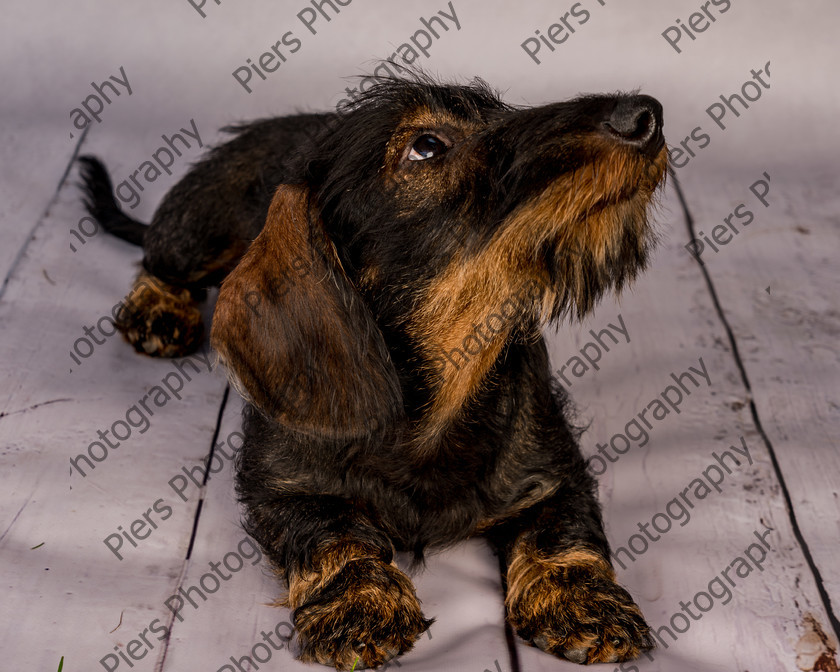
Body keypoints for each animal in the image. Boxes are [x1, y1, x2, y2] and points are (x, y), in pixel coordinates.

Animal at [80, 71, 668, 668]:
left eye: (501, 112)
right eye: (426, 145)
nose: (645, 115)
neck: (440, 393)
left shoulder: (553, 466)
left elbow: (559, 525)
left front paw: (579, 596)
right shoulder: (282, 485)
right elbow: (331, 526)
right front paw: (360, 600)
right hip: (196, 233)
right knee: (156, 260)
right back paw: (157, 308)